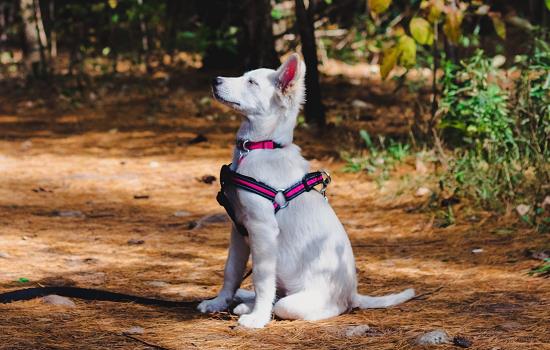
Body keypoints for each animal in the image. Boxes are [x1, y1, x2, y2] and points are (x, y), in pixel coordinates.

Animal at [198, 54, 414, 328]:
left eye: (251, 82)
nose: (214, 80)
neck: (260, 147)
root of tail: (353, 294)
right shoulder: (238, 228)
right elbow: (232, 271)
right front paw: (218, 302)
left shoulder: (262, 229)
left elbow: (261, 278)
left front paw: (258, 318)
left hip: (303, 301)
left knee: (290, 304)